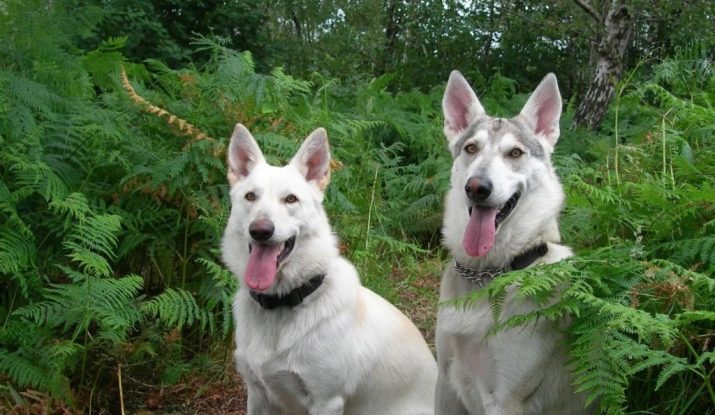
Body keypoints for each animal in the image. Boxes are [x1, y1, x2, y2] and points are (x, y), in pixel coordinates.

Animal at [221, 124, 440, 415]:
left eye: (291, 199)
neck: (283, 302)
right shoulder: (257, 395)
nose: (260, 230)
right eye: (250, 197)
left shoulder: (327, 402)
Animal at [434, 72, 592, 415]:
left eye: (515, 153)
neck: (489, 272)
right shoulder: (446, 383)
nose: (476, 187)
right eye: (471, 148)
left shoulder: (505, 399)